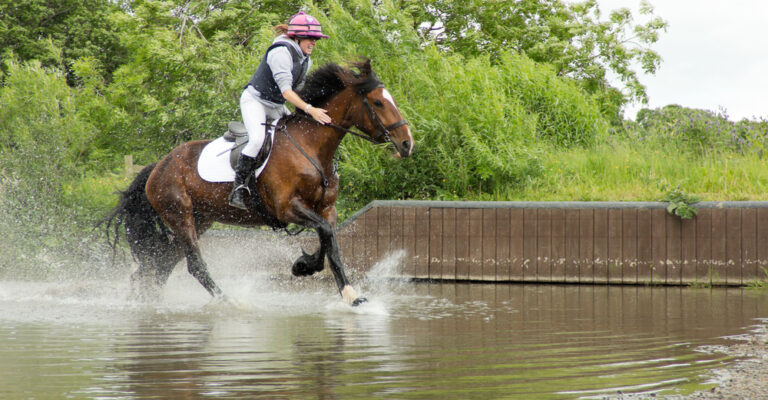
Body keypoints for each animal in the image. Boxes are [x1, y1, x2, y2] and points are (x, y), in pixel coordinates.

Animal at [105, 60, 413, 306]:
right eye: (378, 102)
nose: (407, 144)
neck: (310, 148)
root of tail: (159, 166)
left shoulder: (326, 209)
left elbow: (330, 243)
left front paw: (329, 281)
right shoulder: (286, 208)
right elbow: (326, 236)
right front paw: (316, 273)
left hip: (200, 219)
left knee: (164, 261)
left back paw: (144, 296)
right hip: (180, 215)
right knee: (194, 265)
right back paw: (228, 301)